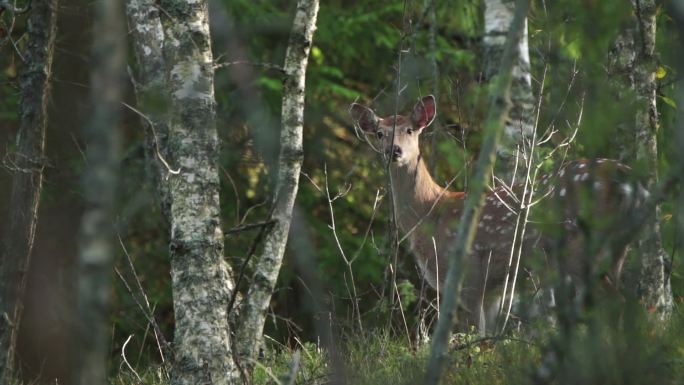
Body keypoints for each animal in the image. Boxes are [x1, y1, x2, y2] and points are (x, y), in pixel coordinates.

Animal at [350, 94, 640, 332]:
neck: (430, 214)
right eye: (379, 133)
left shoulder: (468, 273)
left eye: (409, 130)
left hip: (580, 245)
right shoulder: (493, 290)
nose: (394, 151)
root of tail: (627, 180)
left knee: (615, 304)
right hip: (617, 249)